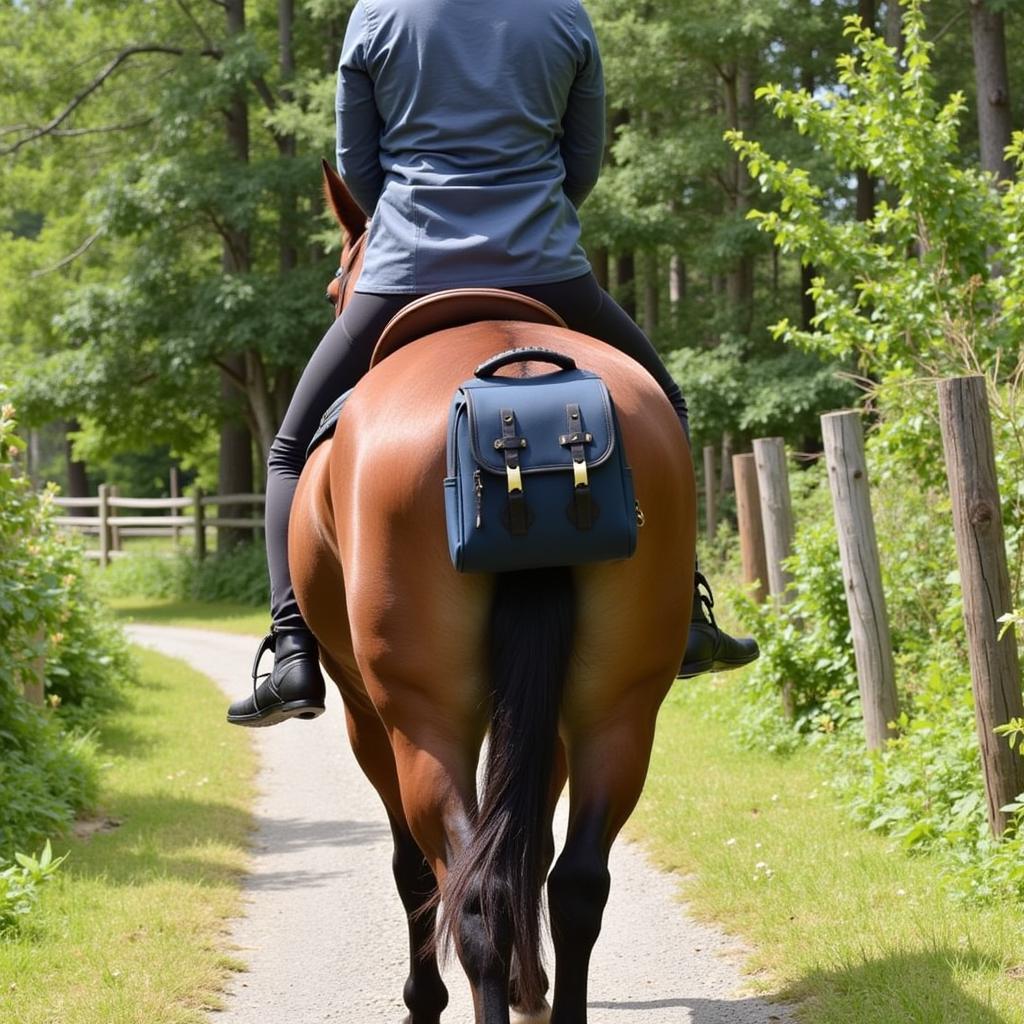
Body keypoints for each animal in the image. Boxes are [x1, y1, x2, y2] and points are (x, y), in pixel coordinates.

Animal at [292, 163, 700, 1019]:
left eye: (332, 284)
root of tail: (516, 395)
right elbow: (529, 841)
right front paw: (529, 985)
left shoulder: (365, 713)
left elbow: (416, 867)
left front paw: (431, 996)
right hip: (618, 702)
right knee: (575, 881)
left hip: (422, 716)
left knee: (470, 888)